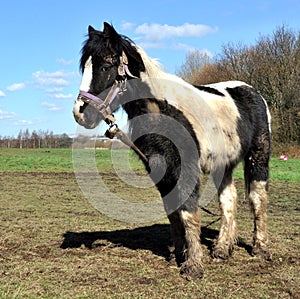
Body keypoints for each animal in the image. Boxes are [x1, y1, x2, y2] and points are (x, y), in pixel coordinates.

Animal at [73, 22, 272, 280]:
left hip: (258, 156)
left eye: (106, 66)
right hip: (223, 164)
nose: (80, 113)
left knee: (257, 198)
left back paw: (260, 248)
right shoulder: (160, 169)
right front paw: (179, 254)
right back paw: (221, 249)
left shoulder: (184, 168)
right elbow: (173, 212)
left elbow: (187, 212)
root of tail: (253, 92)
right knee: (228, 199)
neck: (162, 110)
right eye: (84, 68)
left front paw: (193, 265)